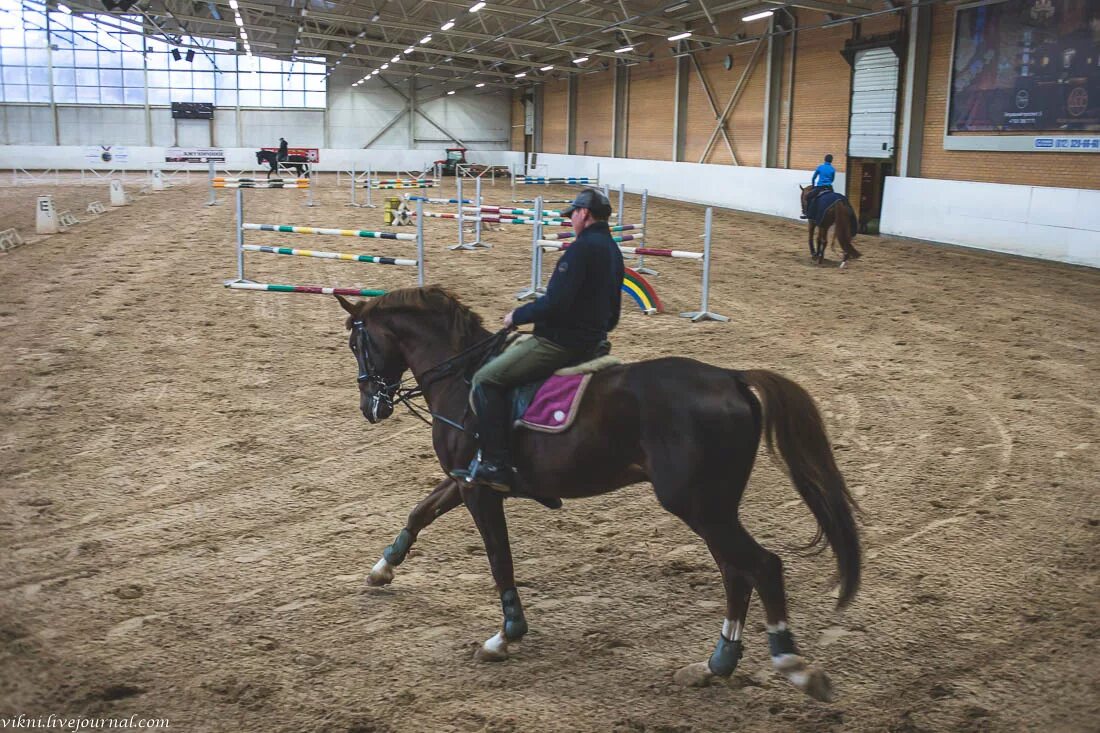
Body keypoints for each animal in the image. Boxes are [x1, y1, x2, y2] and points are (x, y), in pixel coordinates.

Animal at [334, 286, 858, 695]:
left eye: (357, 344)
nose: (370, 406)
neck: (462, 380)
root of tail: (732, 378)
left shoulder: (480, 489)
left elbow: (499, 558)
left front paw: (507, 635)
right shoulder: (466, 478)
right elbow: (420, 512)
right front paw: (381, 569)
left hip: (700, 506)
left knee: (761, 566)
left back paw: (792, 665)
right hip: (713, 508)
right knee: (736, 571)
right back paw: (716, 665)